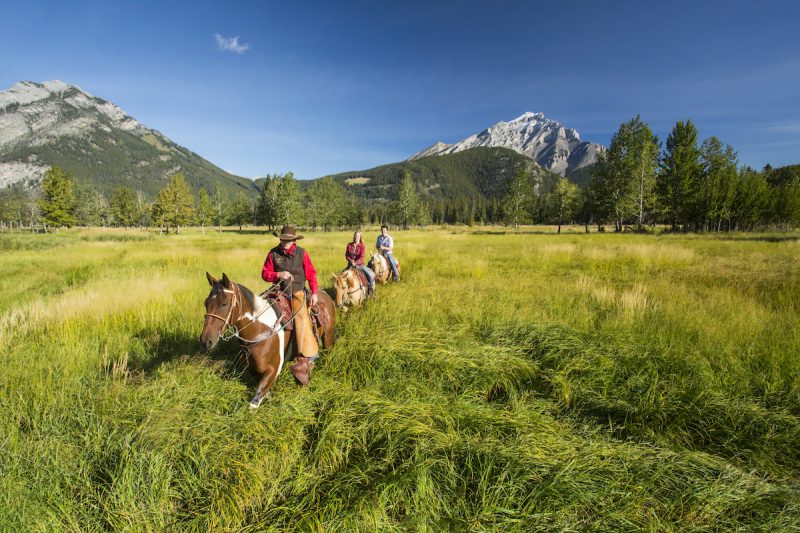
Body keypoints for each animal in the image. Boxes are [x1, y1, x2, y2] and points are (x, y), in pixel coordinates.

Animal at [203, 272, 338, 410]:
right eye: (206, 303)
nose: (205, 341)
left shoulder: (273, 370)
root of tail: (325, 294)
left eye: (224, 304)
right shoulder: (254, 369)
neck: (260, 329)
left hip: (328, 339)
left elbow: (253, 403)